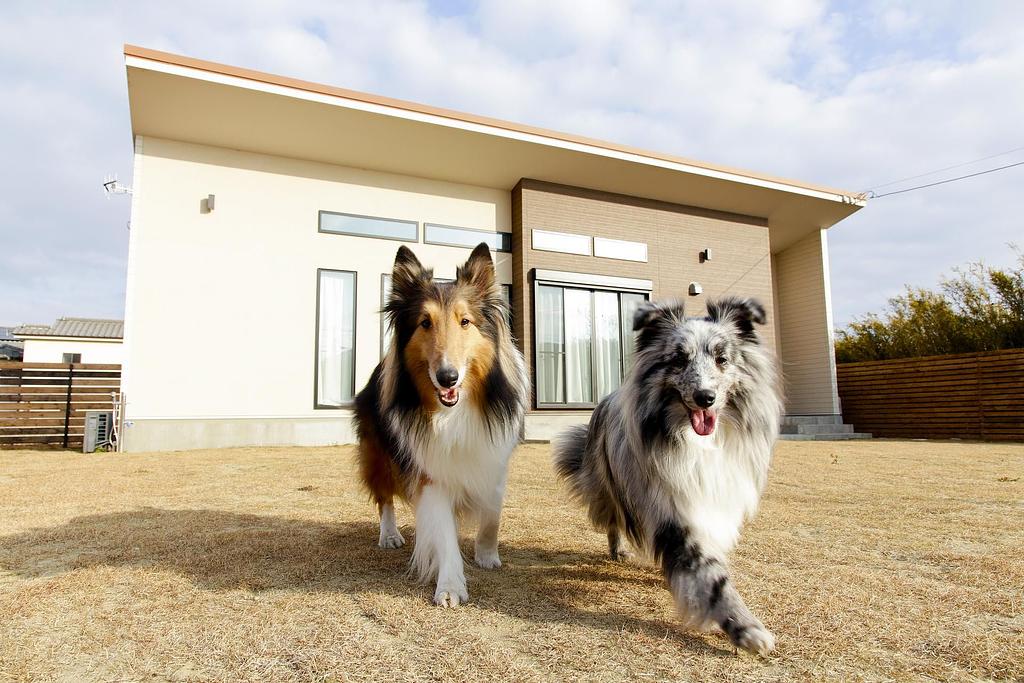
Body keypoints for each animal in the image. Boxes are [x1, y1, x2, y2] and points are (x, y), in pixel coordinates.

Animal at [354, 242, 528, 606]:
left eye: (465, 322)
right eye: (425, 323)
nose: (447, 377)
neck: (455, 412)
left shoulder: (493, 460)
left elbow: (492, 514)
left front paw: (487, 555)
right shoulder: (431, 472)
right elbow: (444, 533)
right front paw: (449, 586)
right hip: (379, 454)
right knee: (384, 496)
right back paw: (389, 534)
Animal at [552, 296, 782, 655]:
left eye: (722, 359)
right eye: (678, 359)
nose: (705, 398)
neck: (694, 440)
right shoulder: (673, 509)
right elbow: (714, 578)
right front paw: (747, 628)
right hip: (608, 487)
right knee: (614, 519)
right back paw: (618, 550)